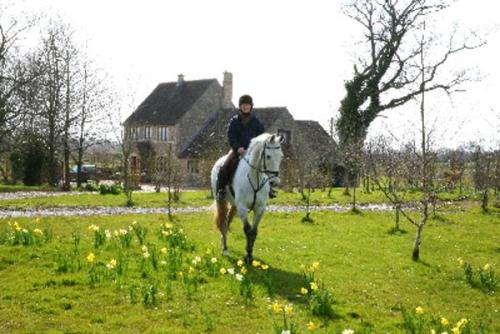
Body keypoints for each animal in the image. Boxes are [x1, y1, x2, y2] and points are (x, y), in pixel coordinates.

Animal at [211, 133, 286, 264]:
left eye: (281, 156)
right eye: (268, 156)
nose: (275, 182)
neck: (255, 178)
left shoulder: (260, 208)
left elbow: (254, 232)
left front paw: (250, 254)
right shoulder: (242, 208)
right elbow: (247, 229)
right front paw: (247, 256)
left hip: (234, 205)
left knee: (227, 221)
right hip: (221, 201)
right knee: (223, 223)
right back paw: (225, 248)